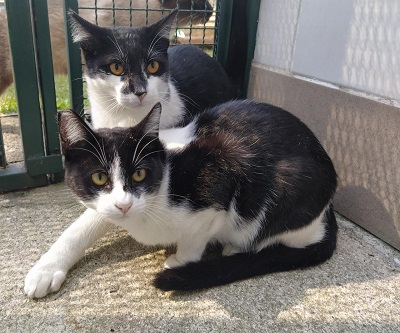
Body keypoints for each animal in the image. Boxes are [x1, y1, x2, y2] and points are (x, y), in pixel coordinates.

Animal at [24, 99, 338, 296]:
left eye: (140, 174)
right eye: (99, 178)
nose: (124, 205)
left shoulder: (221, 176)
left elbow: (197, 234)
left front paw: (181, 262)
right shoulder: (107, 206)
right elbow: (82, 225)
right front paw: (46, 269)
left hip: (290, 185)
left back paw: (236, 248)